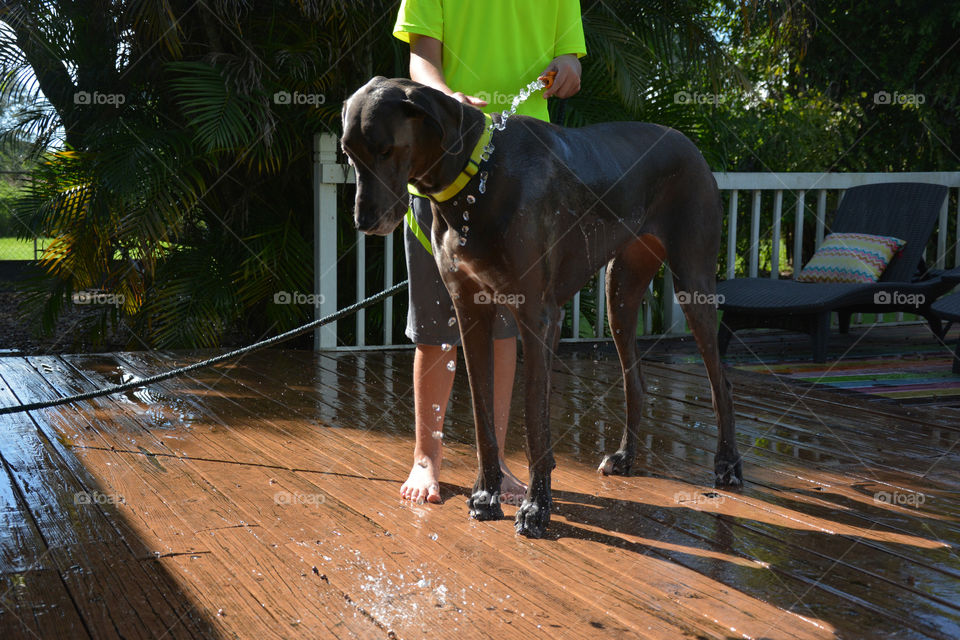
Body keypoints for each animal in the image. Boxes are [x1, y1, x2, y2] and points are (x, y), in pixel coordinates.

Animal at [344, 77, 744, 536]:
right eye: (349, 154)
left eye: (384, 149)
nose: (363, 221)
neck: (477, 175)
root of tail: (687, 141)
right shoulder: (470, 310)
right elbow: (483, 416)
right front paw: (486, 495)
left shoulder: (538, 315)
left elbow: (535, 417)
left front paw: (536, 508)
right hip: (620, 292)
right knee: (636, 381)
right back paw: (626, 458)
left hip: (692, 283)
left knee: (720, 380)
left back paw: (728, 465)